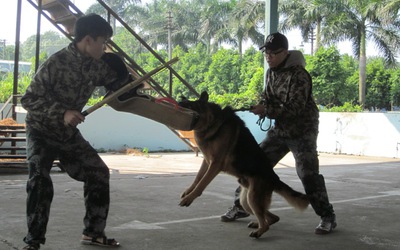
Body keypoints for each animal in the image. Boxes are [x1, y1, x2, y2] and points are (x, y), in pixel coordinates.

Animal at [178, 91, 310, 238]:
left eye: (189, 106)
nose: (177, 104)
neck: (212, 123)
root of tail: (274, 178)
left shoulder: (215, 164)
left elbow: (202, 183)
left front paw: (189, 198)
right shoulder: (207, 161)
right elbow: (197, 178)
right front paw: (188, 191)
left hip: (252, 198)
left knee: (265, 221)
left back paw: (259, 231)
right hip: (246, 201)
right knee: (272, 217)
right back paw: (258, 224)